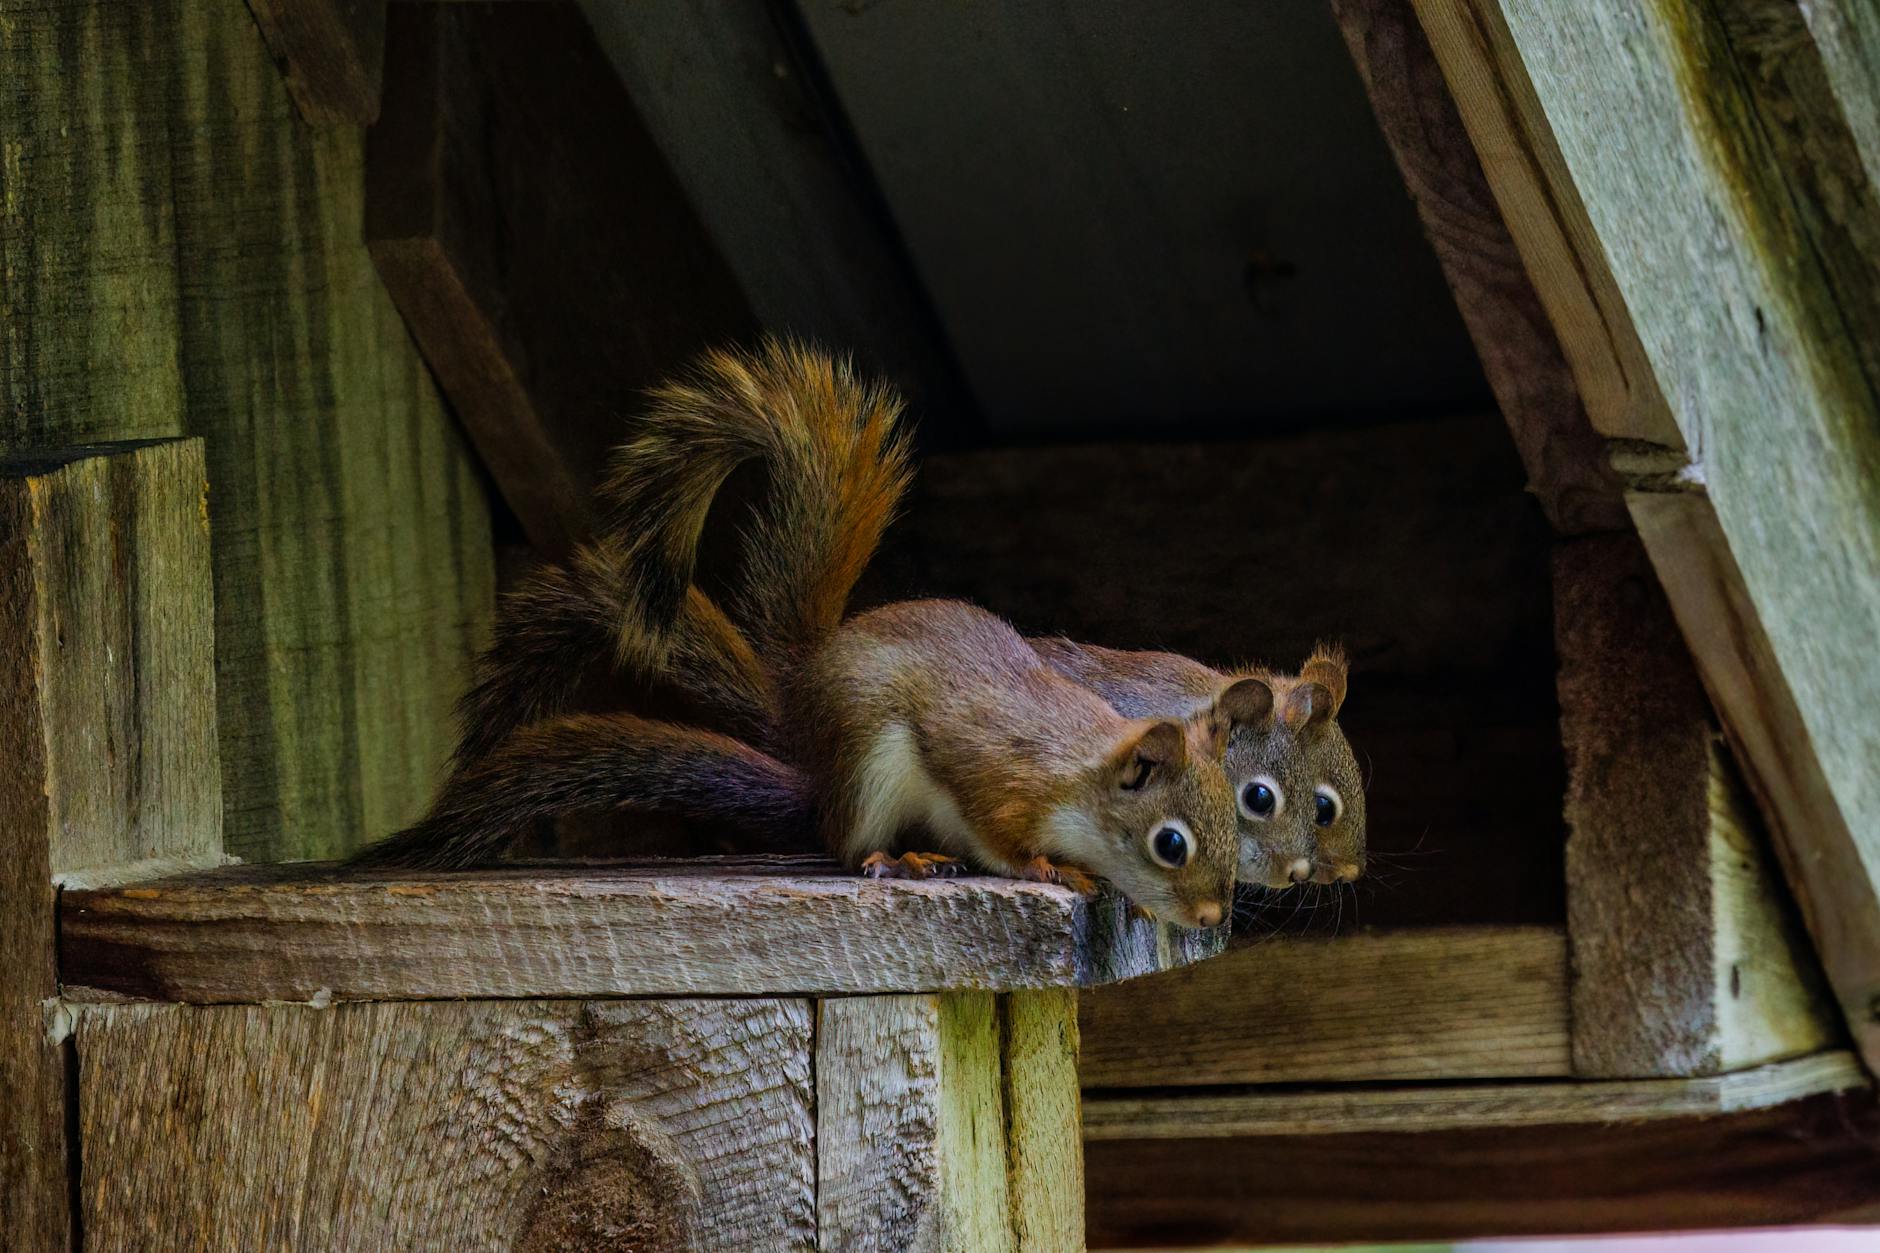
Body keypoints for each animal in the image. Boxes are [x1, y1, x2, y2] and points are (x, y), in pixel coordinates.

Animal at [361, 341, 1256, 928]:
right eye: (1170, 843)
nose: (1214, 915)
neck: (1081, 772)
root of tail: (807, 693)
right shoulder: (993, 775)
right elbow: (999, 836)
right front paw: (1049, 866)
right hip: (866, 766)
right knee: (844, 841)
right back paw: (895, 858)